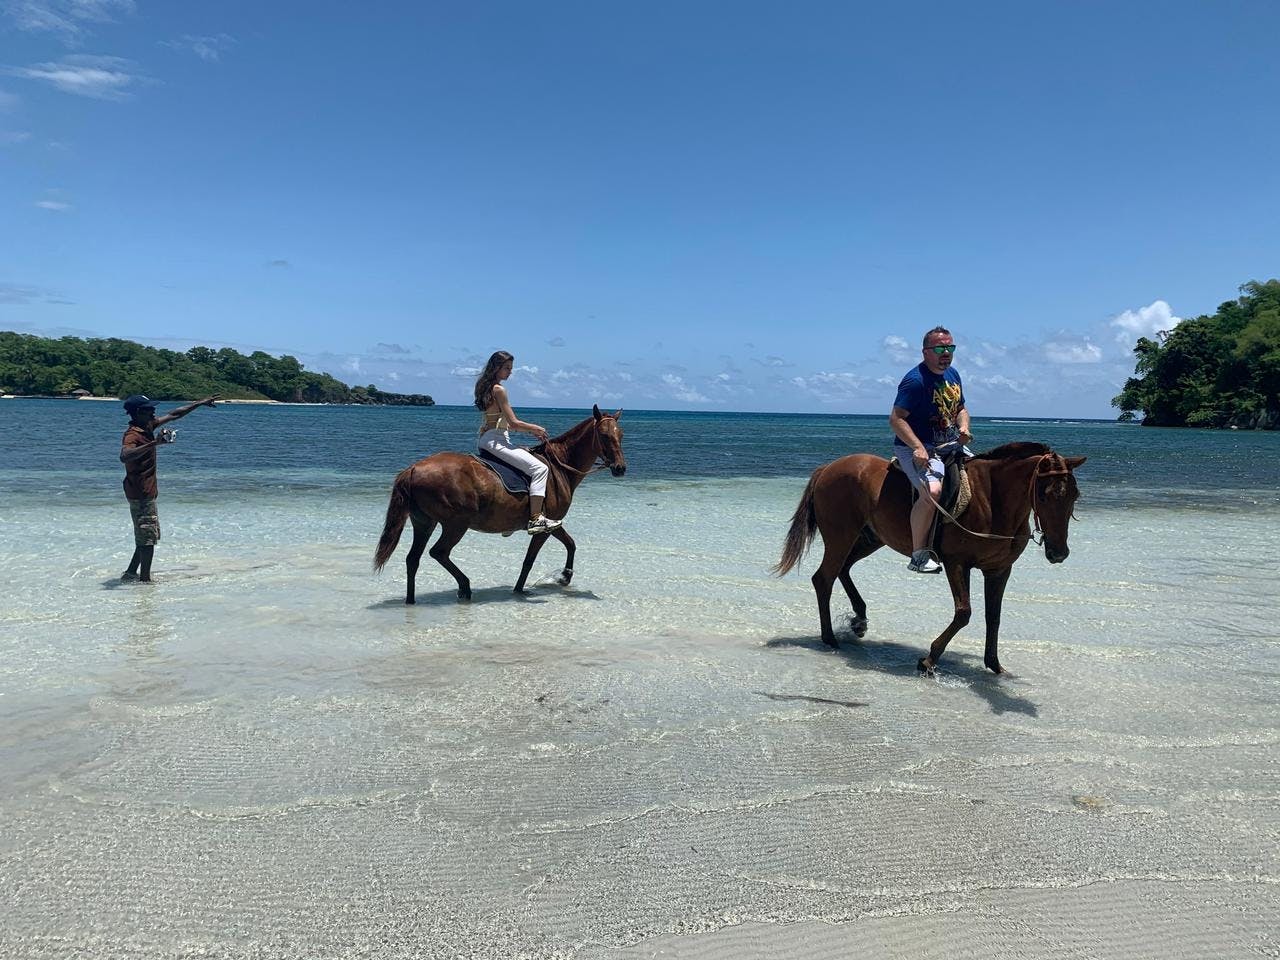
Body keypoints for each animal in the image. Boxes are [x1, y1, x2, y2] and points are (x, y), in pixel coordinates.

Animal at [373, 404, 627, 601]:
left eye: (621, 435)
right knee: (439, 552)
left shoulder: (554, 523)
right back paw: (465, 586)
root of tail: (414, 468)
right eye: (604, 435)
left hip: (424, 523)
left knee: (413, 560)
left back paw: (412, 600)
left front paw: (566, 575)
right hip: (455, 524)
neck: (559, 466)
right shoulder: (545, 526)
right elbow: (530, 560)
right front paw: (523, 589)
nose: (620, 468)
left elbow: (571, 544)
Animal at [773, 445, 1085, 675]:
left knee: (843, 569)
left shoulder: (999, 570)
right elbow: (964, 613)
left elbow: (993, 617)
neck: (992, 500)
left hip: (870, 538)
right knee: (824, 578)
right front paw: (929, 660)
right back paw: (830, 638)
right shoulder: (957, 563)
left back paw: (859, 620)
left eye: (1074, 495)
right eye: (1043, 495)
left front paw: (994, 665)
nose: (1059, 552)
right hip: (842, 537)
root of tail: (828, 468)